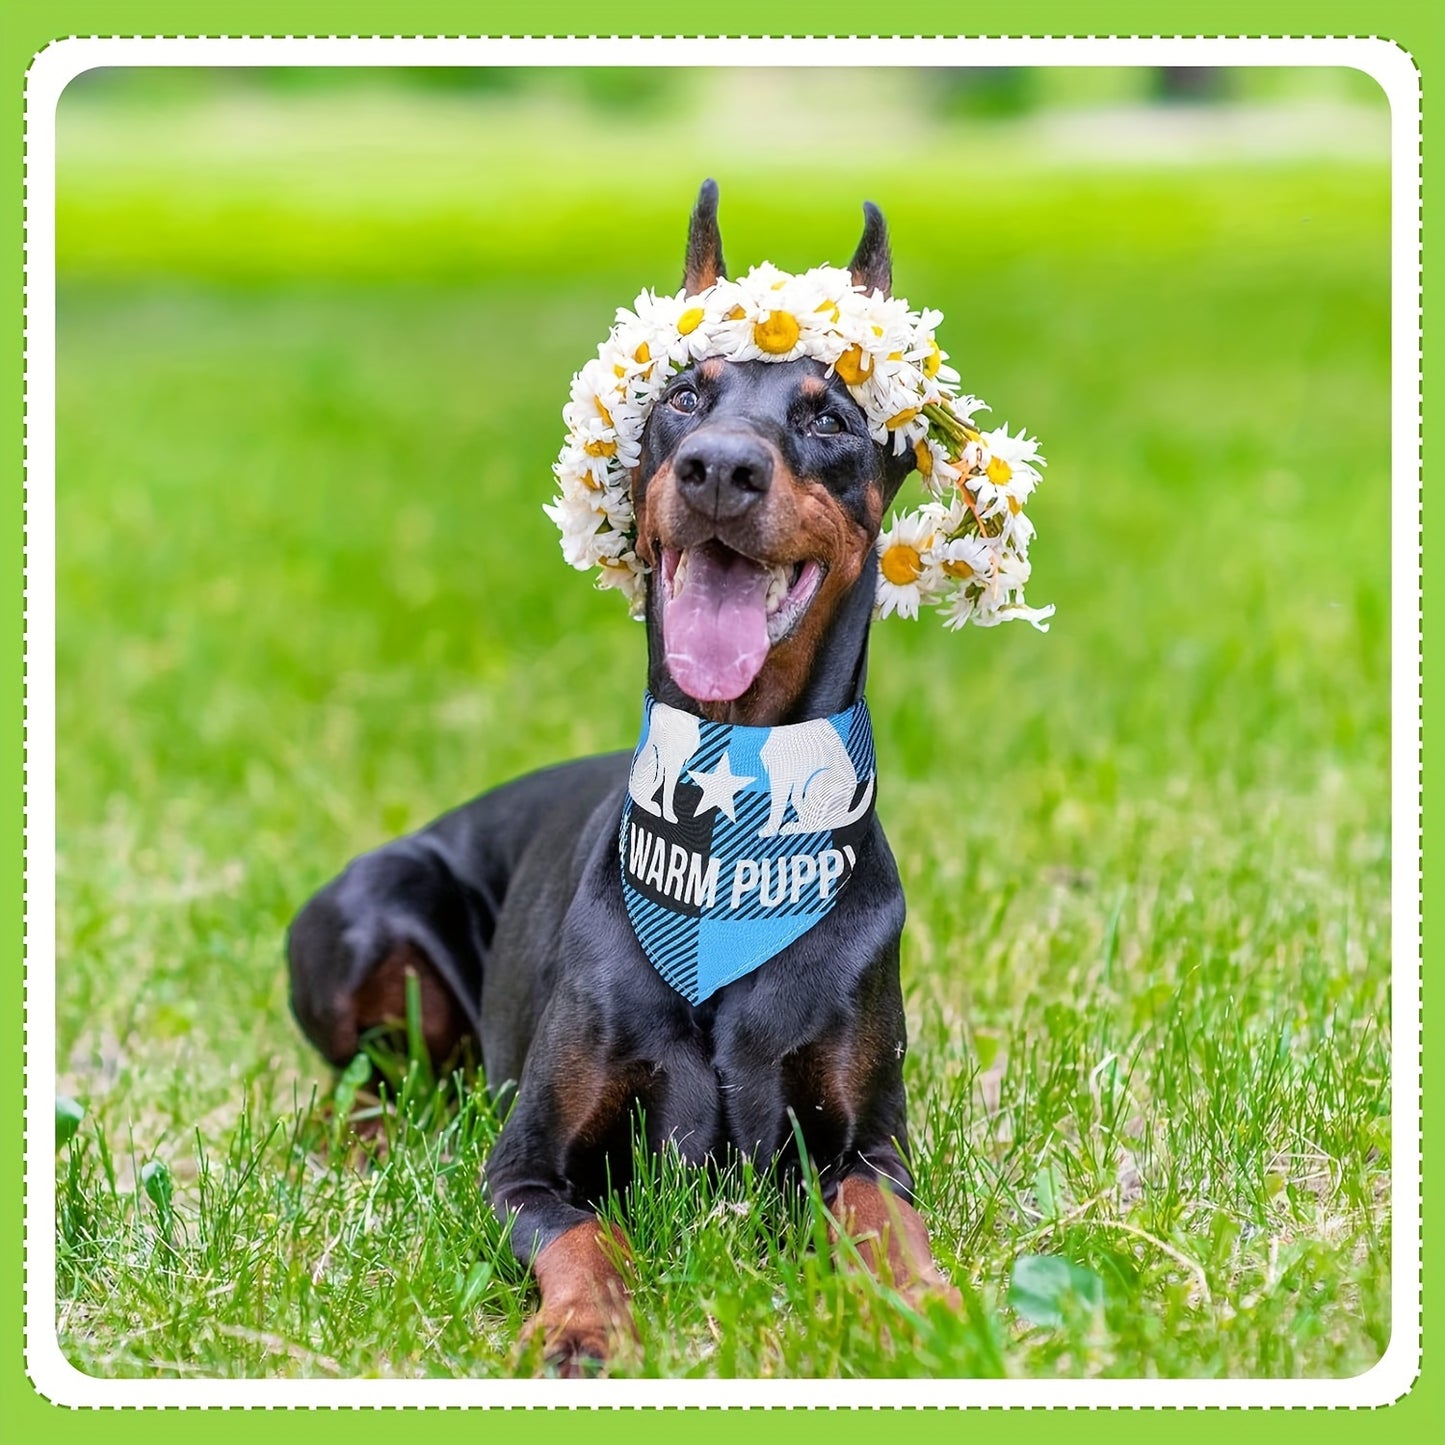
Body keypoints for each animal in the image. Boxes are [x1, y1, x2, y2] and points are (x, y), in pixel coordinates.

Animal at [284, 186, 959, 1369]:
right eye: (685, 397)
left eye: (829, 419)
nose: (720, 468)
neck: (733, 836)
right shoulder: (526, 1164)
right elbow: (586, 1234)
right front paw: (583, 1327)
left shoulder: (863, 1146)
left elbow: (891, 1220)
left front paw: (933, 1309)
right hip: (371, 910)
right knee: (364, 1084)